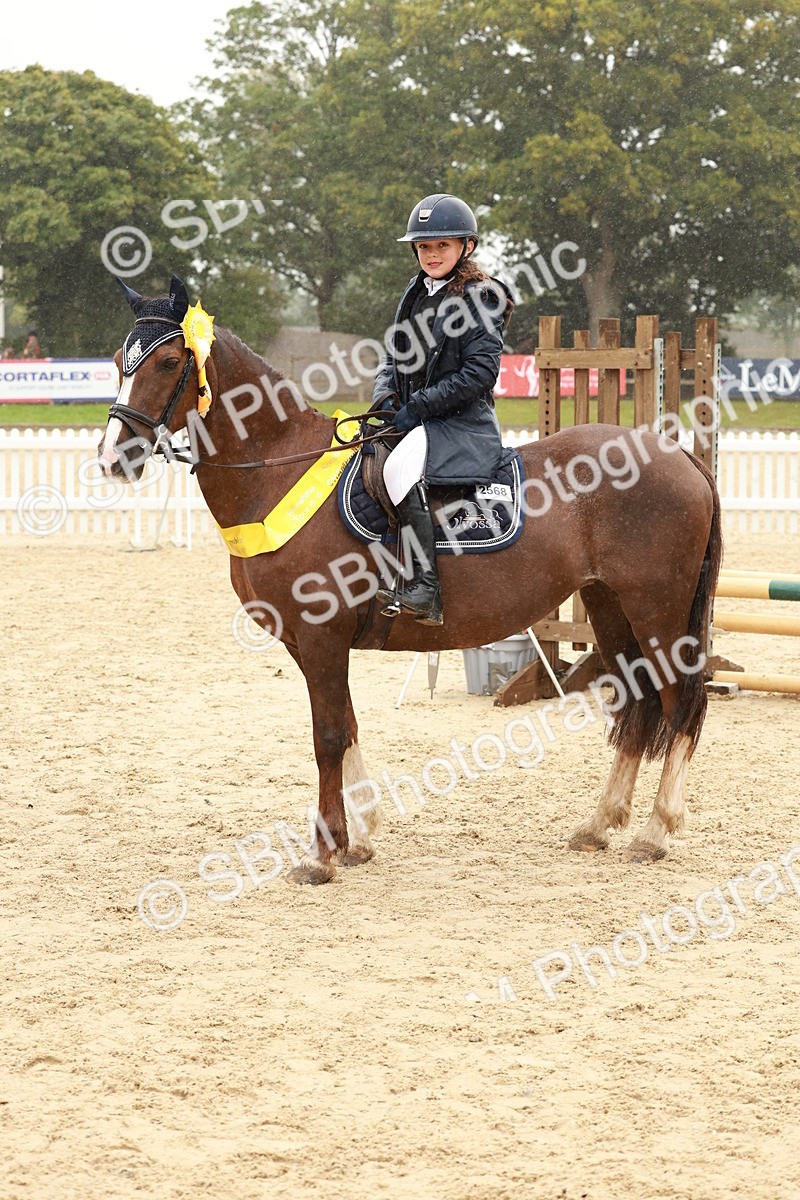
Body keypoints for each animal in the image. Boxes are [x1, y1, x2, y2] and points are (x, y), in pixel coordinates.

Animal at [99, 277, 722, 884]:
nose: (112, 458)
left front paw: (322, 855)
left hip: (657, 612)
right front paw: (358, 839)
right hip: (609, 606)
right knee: (638, 701)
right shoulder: (305, 644)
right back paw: (599, 824)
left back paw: (656, 831)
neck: (278, 470)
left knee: (679, 703)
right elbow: (347, 725)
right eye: (117, 360)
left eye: (167, 362)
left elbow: (328, 736)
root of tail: (679, 456)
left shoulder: (322, 637)